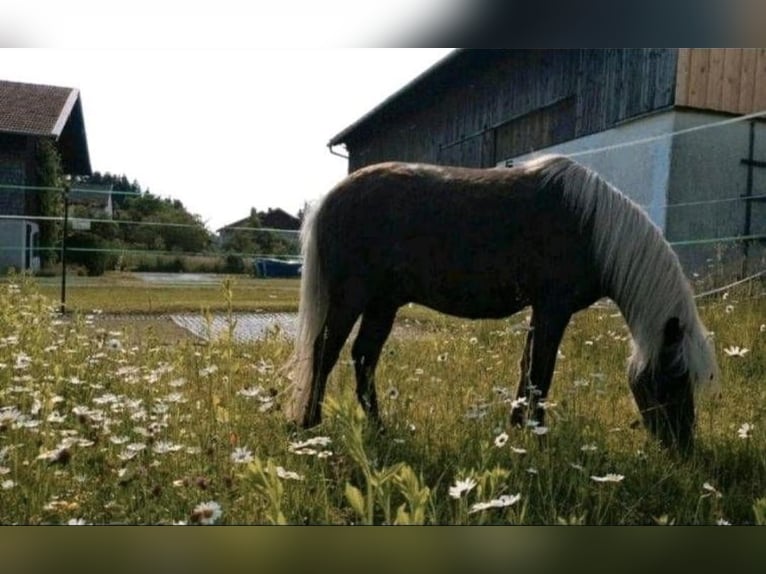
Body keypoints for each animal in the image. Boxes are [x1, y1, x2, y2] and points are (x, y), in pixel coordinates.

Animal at [286, 155, 720, 452]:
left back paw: (379, 428)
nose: (683, 449)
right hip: (352, 296)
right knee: (325, 352)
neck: (592, 226)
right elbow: (540, 373)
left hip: (383, 302)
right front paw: (538, 436)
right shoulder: (553, 309)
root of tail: (329, 200)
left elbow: (527, 368)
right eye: (675, 377)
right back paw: (309, 424)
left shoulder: (542, 311)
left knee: (363, 357)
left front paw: (517, 427)